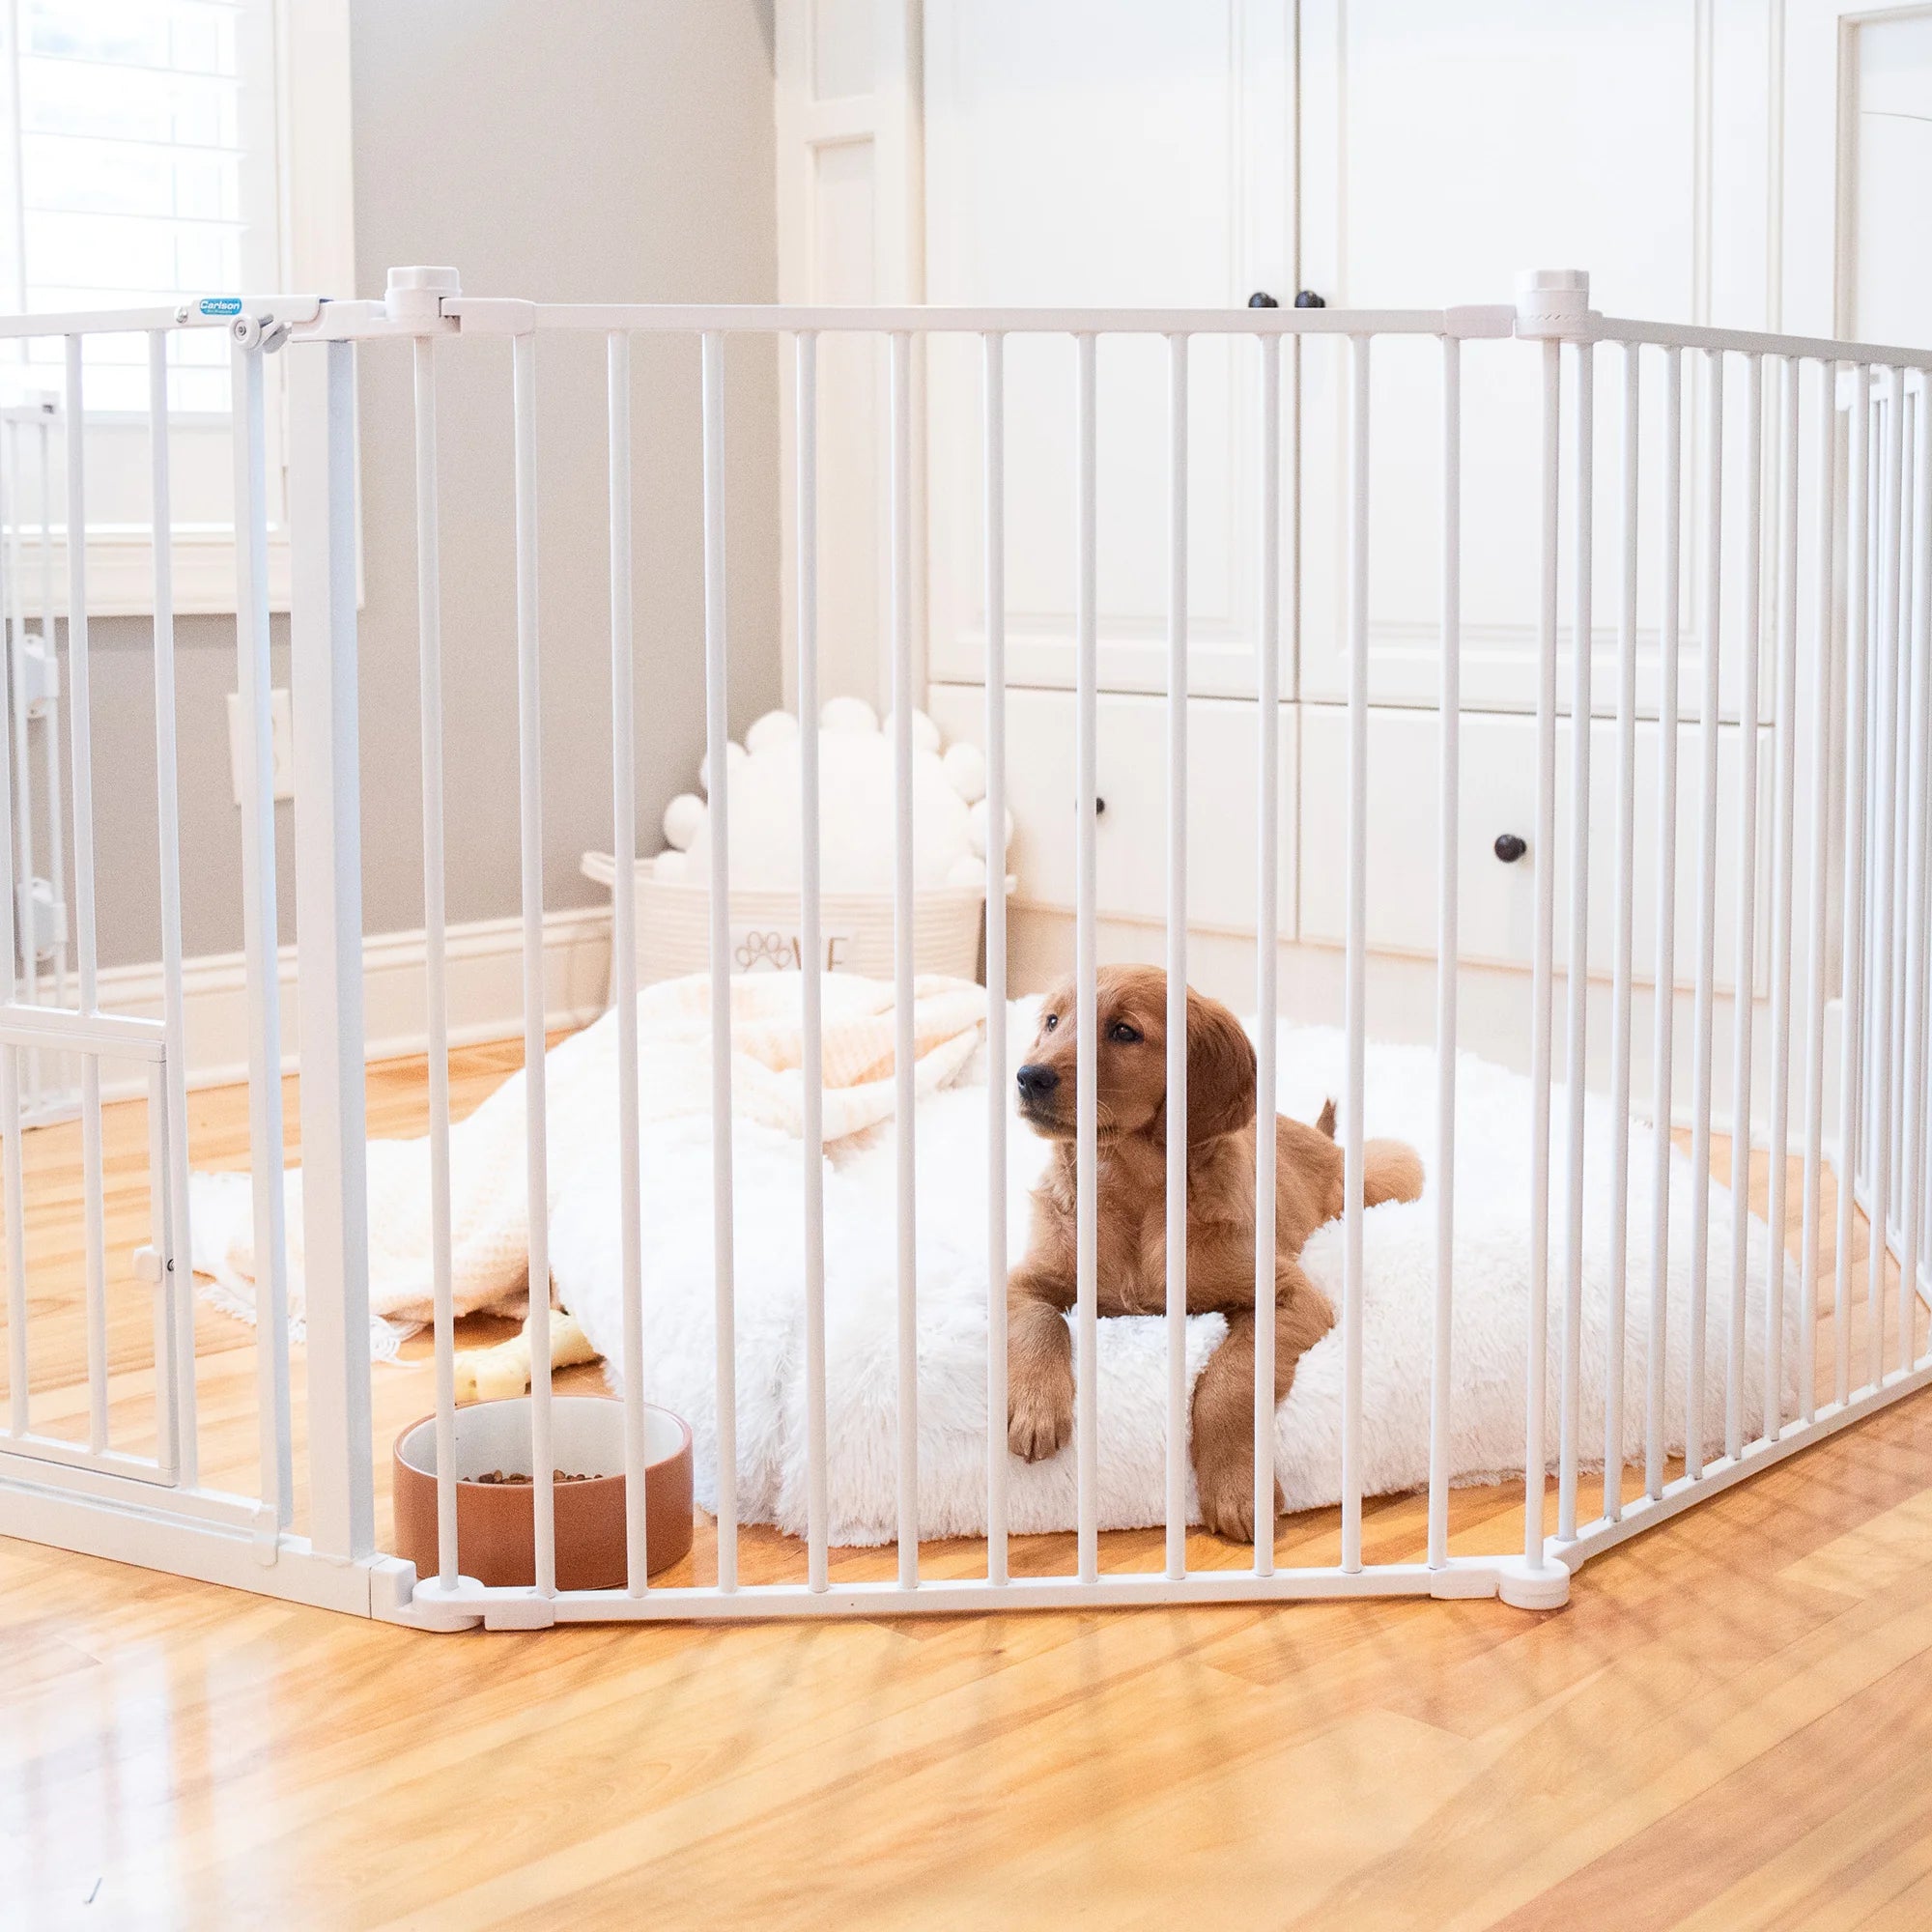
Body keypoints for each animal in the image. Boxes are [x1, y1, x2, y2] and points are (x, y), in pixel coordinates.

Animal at [1005, 966, 1430, 1538]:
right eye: (1052, 1021)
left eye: (1124, 1032)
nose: (1028, 1077)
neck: (1134, 1188)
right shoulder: (1023, 1279)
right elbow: (1040, 1320)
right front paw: (1034, 1409)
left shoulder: (1289, 1296)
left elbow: (1226, 1382)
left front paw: (1237, 1492)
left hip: (1389, 1170)